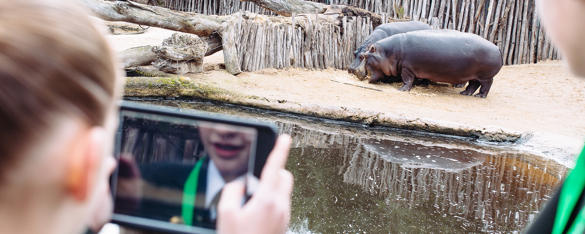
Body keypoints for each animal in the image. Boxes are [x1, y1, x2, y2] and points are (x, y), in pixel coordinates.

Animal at [356, 29, 502, 98]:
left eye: (365, 55)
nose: (356, 72)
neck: (388, 52)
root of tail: (497, 47)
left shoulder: (407, 68)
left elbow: (407, 80)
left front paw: (401, 89)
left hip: (485, 76)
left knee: (487, 85)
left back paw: (480, 96)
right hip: (474, 75)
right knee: (473, 84)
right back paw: (465, 93)